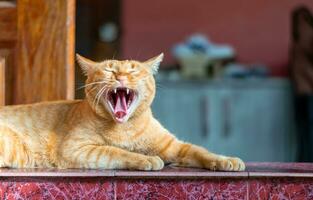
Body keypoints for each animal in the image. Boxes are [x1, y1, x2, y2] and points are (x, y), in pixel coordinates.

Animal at [0, 54, 244, 171]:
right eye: (109, 70)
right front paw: (147, 159)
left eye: (133, 70)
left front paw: (227, 160)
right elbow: (116, 152)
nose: (120, 76)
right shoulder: (76, 149)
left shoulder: (174, 146)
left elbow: (202, 151)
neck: (125, 127)